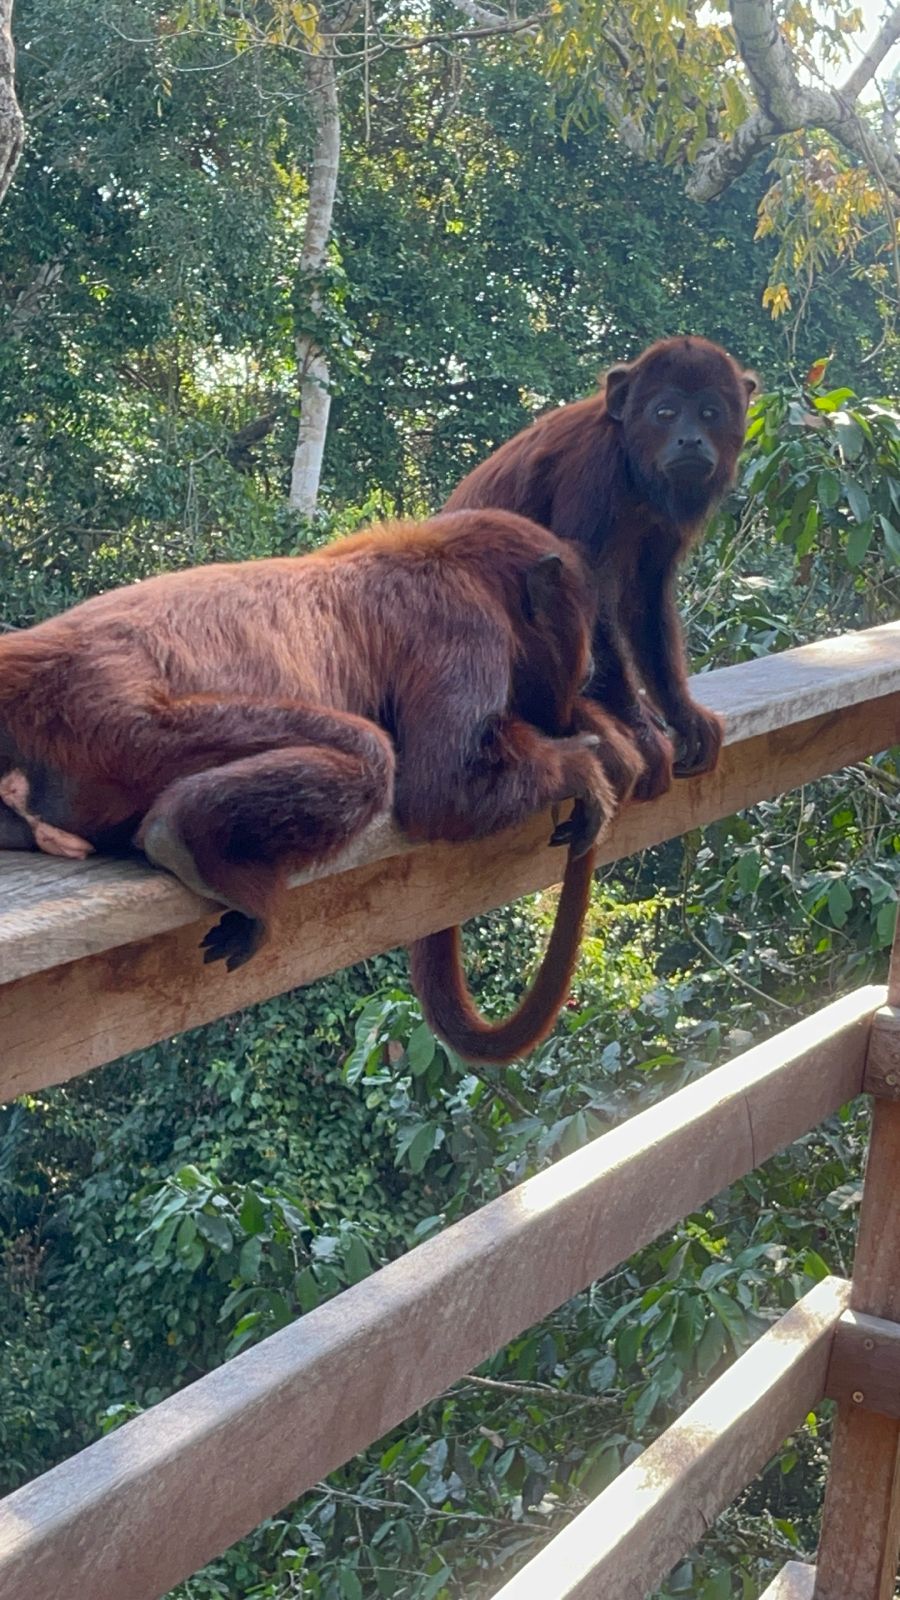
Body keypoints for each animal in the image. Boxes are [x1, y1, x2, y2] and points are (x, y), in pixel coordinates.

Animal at [0, 509, 644, 1063]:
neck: (459, 563)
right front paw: (580, 766)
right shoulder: (465, 628)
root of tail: (37, 657)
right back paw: (182, 838)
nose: (591, 668)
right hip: (121, 719)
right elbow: (439, 793)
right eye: (579, 625)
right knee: (370, 756)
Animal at [444, 336, 758, 801]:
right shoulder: (593, 467)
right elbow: (576, 586)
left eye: (709, 413)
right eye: (665, 413)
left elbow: (648, 598)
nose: (690, 440)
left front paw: (682, 711)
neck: (632, 463)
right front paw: (641, 731)